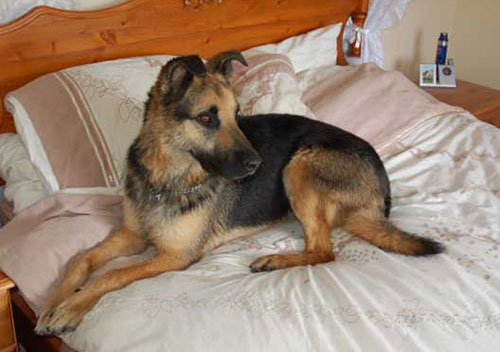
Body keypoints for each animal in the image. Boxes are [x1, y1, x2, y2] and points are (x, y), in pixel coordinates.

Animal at [34, 51, 442, 334]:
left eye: (238, 113)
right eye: (206, 118)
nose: (257, 165)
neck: (167, 179)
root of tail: (382, 190)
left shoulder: (174, 256)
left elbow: (113, 275)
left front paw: (70, 307)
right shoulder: (132, 236)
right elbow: (82, 259)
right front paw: (54, 299)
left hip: (300, 165)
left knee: (323, 251)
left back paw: (275, 260)